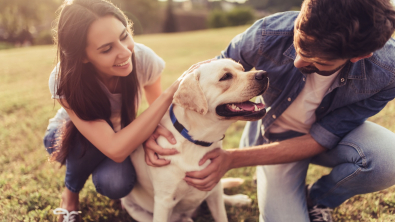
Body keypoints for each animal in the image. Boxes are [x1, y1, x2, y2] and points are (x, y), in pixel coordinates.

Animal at [120, 59, 270, 222]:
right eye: (225, 76)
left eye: (242, 69)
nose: (264, 74)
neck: (197, 141)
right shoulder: (163, 201)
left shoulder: (213, 184)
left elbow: (222, 216)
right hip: (135, 210)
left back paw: (238, 200)